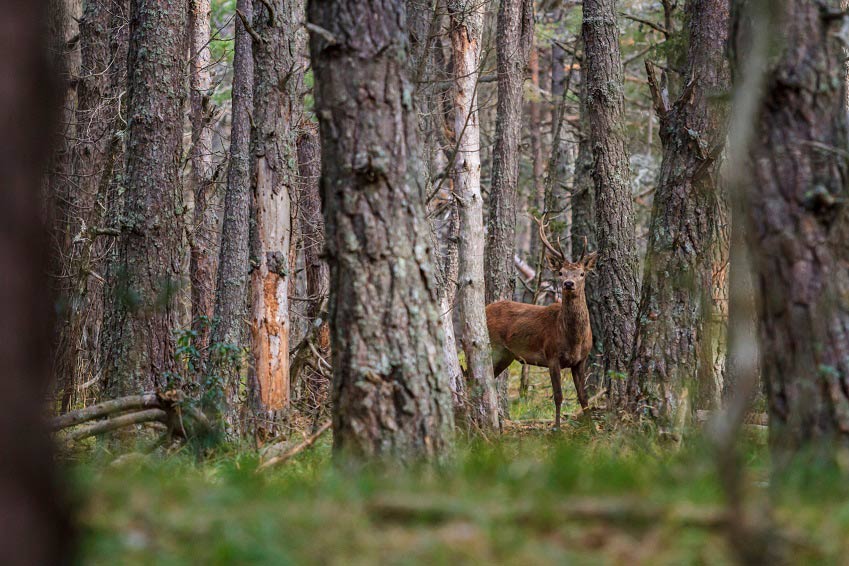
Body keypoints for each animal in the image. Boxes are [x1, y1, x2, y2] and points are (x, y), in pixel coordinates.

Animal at [484, 217, 596, 430]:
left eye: (582, 274)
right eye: (561, 272)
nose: (568, 284)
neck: (574, 338)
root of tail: (484, 308)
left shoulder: (581, 360)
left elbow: (583, 397)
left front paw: (591, 427)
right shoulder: (552, 356)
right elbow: (558, 396)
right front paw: (557, 428)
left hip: (506, 355)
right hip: (493, 347)